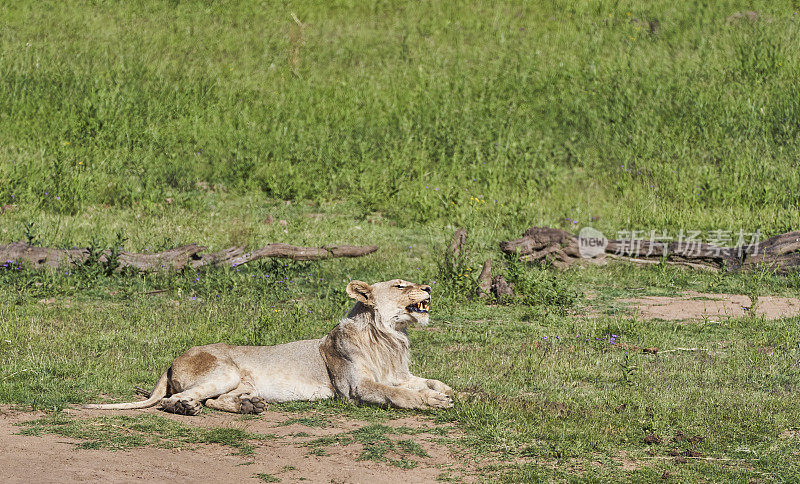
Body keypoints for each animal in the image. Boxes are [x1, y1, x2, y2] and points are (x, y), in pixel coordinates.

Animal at [86, 280, 456, 416]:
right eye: (400, 285)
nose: (428, 287)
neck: (391, 338)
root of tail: (172, 360)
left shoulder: (398, 373)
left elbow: (429, 381)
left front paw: (454, 393)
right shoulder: (355, 388)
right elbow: (397, 394)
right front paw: (434, 401)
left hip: (236, 382)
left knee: (214, 401)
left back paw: (250, 405)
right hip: (224, 370)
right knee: (178, 400)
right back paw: (186, 408)